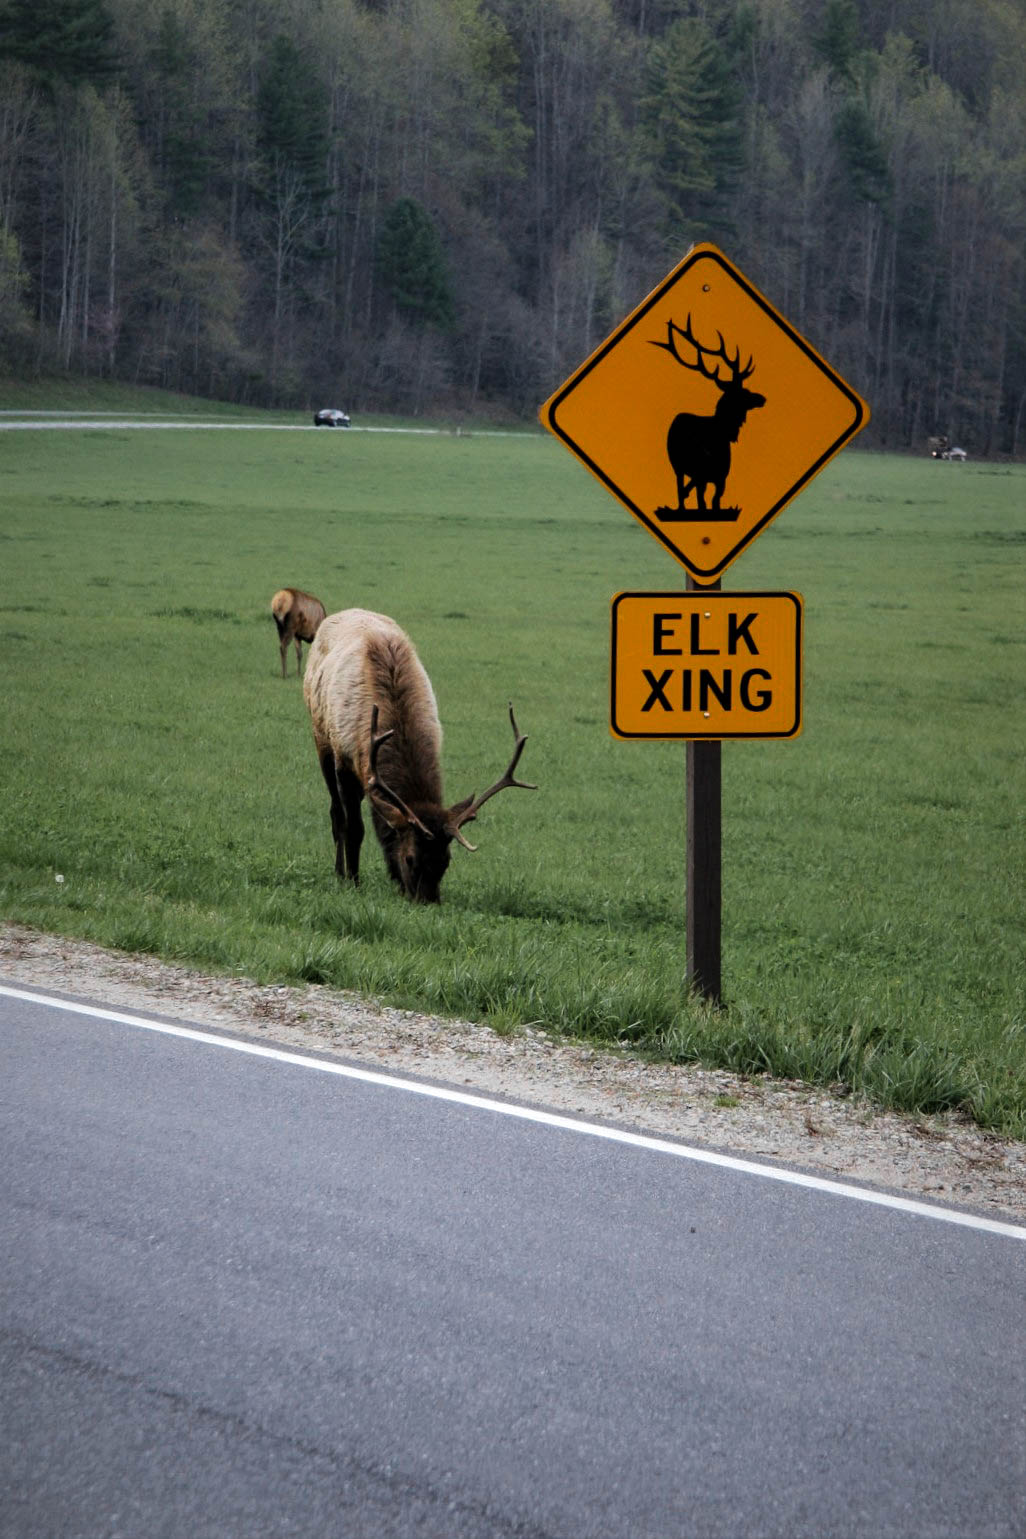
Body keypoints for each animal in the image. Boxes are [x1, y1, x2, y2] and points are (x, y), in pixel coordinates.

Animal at [303, 606, 538, 898]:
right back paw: (339, 872)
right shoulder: (343, 759)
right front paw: (353, 881)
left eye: (446, 860)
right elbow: (354, 827)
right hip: (320, 736)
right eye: (410, 859)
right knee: (337, 813)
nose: (428, 901)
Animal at [655, 317, 766, 523]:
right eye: (743, 392)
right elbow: (702, 502)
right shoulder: (701, 475)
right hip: (677, 466)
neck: (721, 435)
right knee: (680, 488)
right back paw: (681, 507)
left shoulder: (721, 477)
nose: (762, 398)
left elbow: (714, 502)